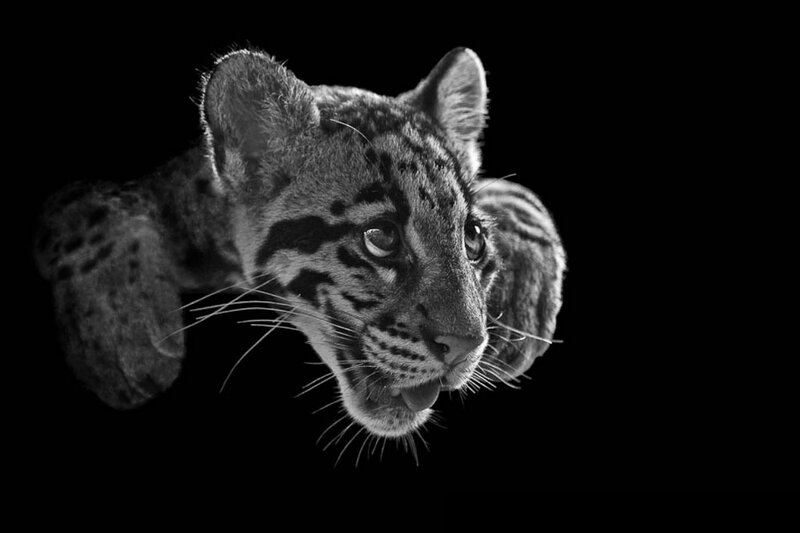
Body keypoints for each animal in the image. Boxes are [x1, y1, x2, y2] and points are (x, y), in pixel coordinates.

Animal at [33, 47, 566, 440]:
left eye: (473, 239)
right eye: (381, 238)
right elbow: (87, 201)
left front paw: (526, 307)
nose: (466, 346)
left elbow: (518, 194)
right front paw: (124, 336)